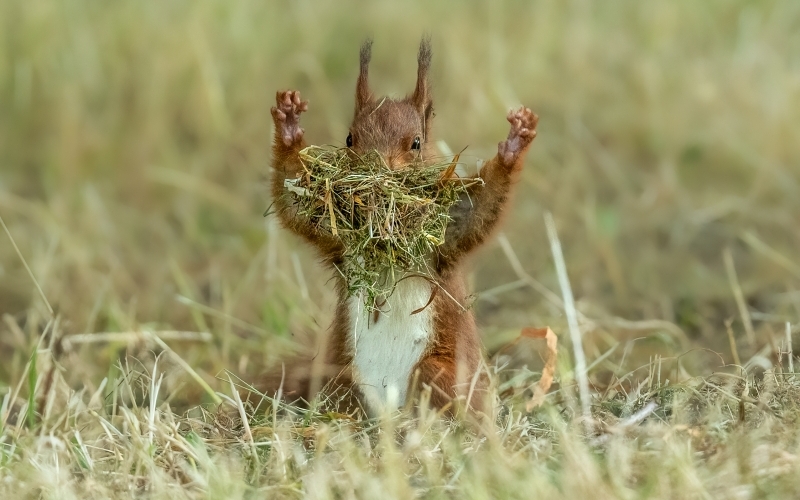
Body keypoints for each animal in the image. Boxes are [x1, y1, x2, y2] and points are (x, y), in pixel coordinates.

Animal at [269, 38, 538, 417]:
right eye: (349, 139)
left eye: (416, 143)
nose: (377, 174)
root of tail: (388, 414)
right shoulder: (335, 236)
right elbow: (294, 199)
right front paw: (289, 127)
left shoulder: (447, 230)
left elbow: (481, 207)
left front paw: (514, 144)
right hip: (339, 378)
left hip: (439, 370)